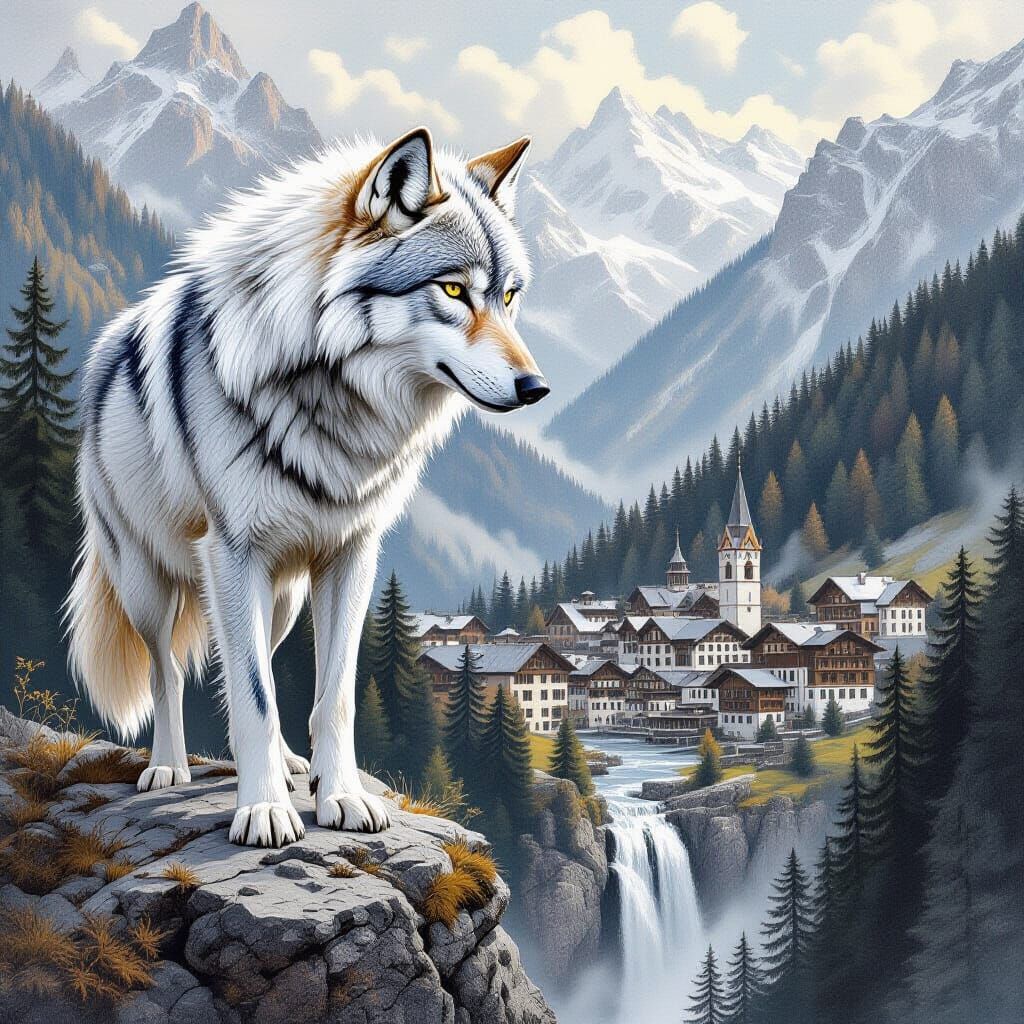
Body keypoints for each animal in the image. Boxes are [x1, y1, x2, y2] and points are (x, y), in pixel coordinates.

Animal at [66, 127, 548, 848]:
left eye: (509, 297)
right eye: (454, 290)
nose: (535, 387)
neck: (332, 403)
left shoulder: (351, 555)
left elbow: (333, 694)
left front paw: (339, 795)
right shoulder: (232, 555)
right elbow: (253, 697)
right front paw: (264, 810)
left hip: (284, 598)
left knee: (258, 661)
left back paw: (293, 765)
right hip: (151, 584)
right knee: (169, 671)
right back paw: (168, 767)